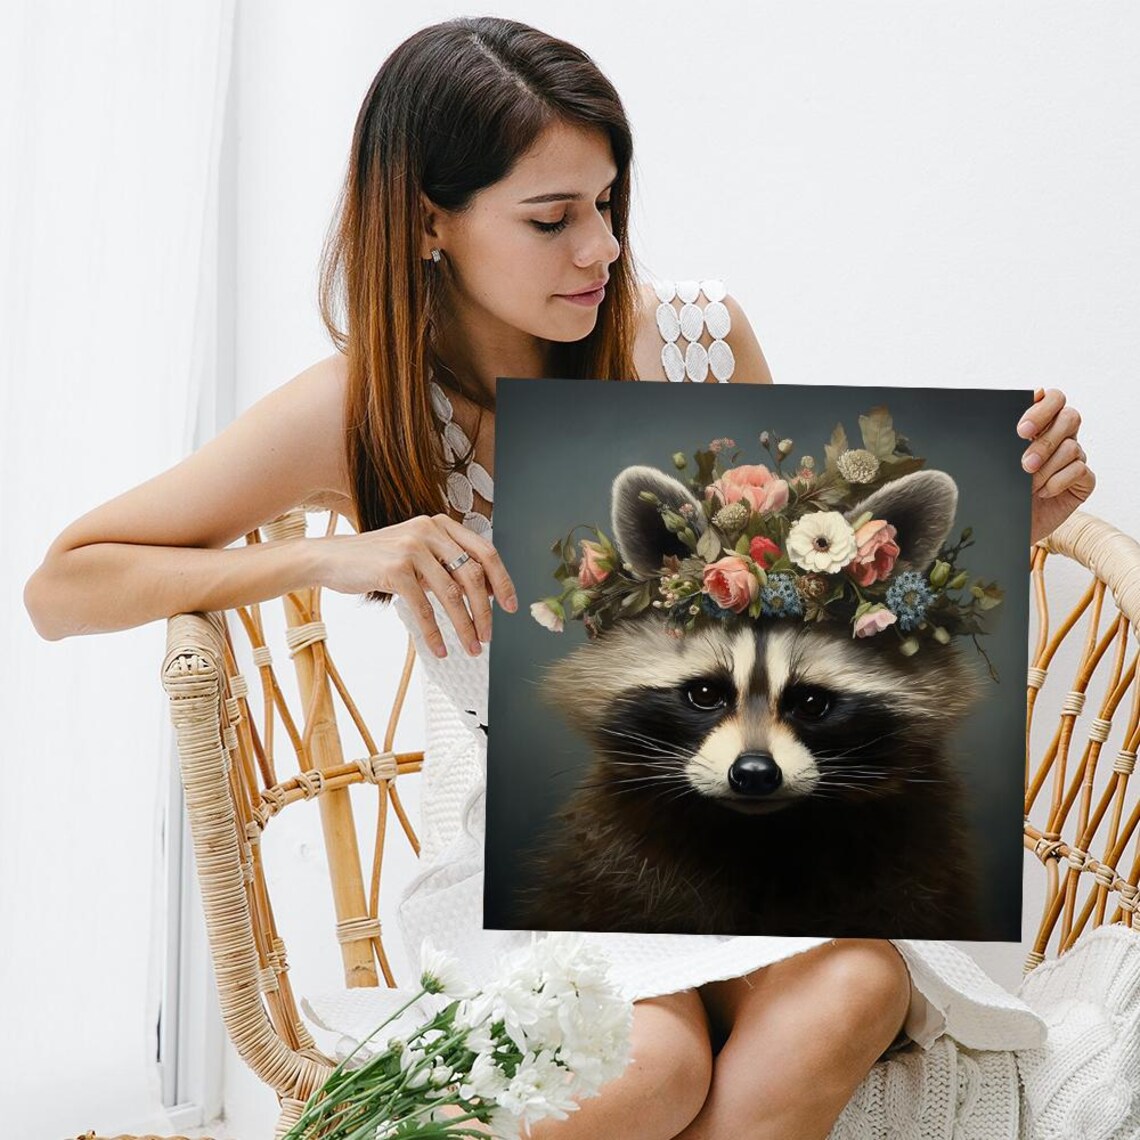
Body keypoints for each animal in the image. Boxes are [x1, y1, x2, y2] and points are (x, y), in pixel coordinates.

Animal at [519, 464, 986, 939]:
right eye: (706, 694)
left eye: (811, 702)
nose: (755, 774)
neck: (759, 837)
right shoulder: (611, 859)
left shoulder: (916, 859)